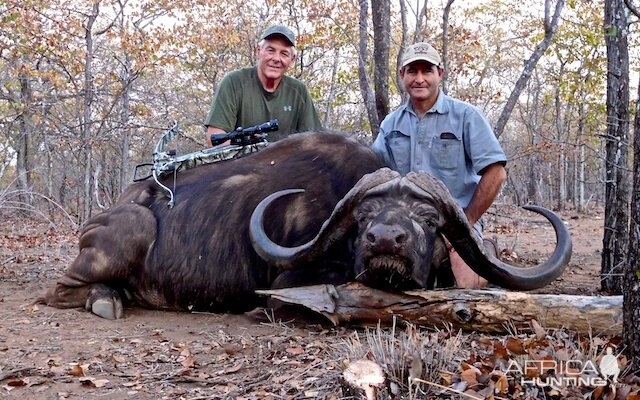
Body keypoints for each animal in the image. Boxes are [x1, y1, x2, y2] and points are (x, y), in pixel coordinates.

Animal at [37, 131, 572, 318]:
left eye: (428, 219)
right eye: (364, 218)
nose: (385, 240)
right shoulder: (289, 280)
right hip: (129, 231)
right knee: (58, 289)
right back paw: (105, 300)